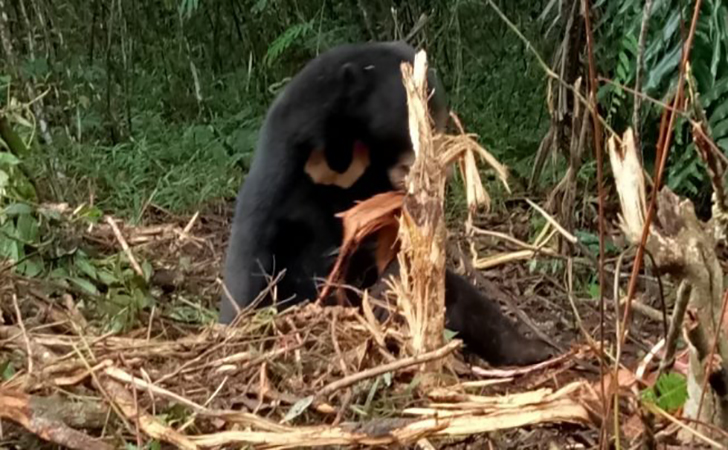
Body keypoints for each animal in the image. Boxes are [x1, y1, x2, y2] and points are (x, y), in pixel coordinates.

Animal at [222, 41, 552, 366]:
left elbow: (398, 242)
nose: (439, 168)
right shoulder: (285, 156)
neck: (347, 143)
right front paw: (238, 328)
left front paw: (383, 297)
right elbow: (252, 244)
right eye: (423, 118)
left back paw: (534, 350)